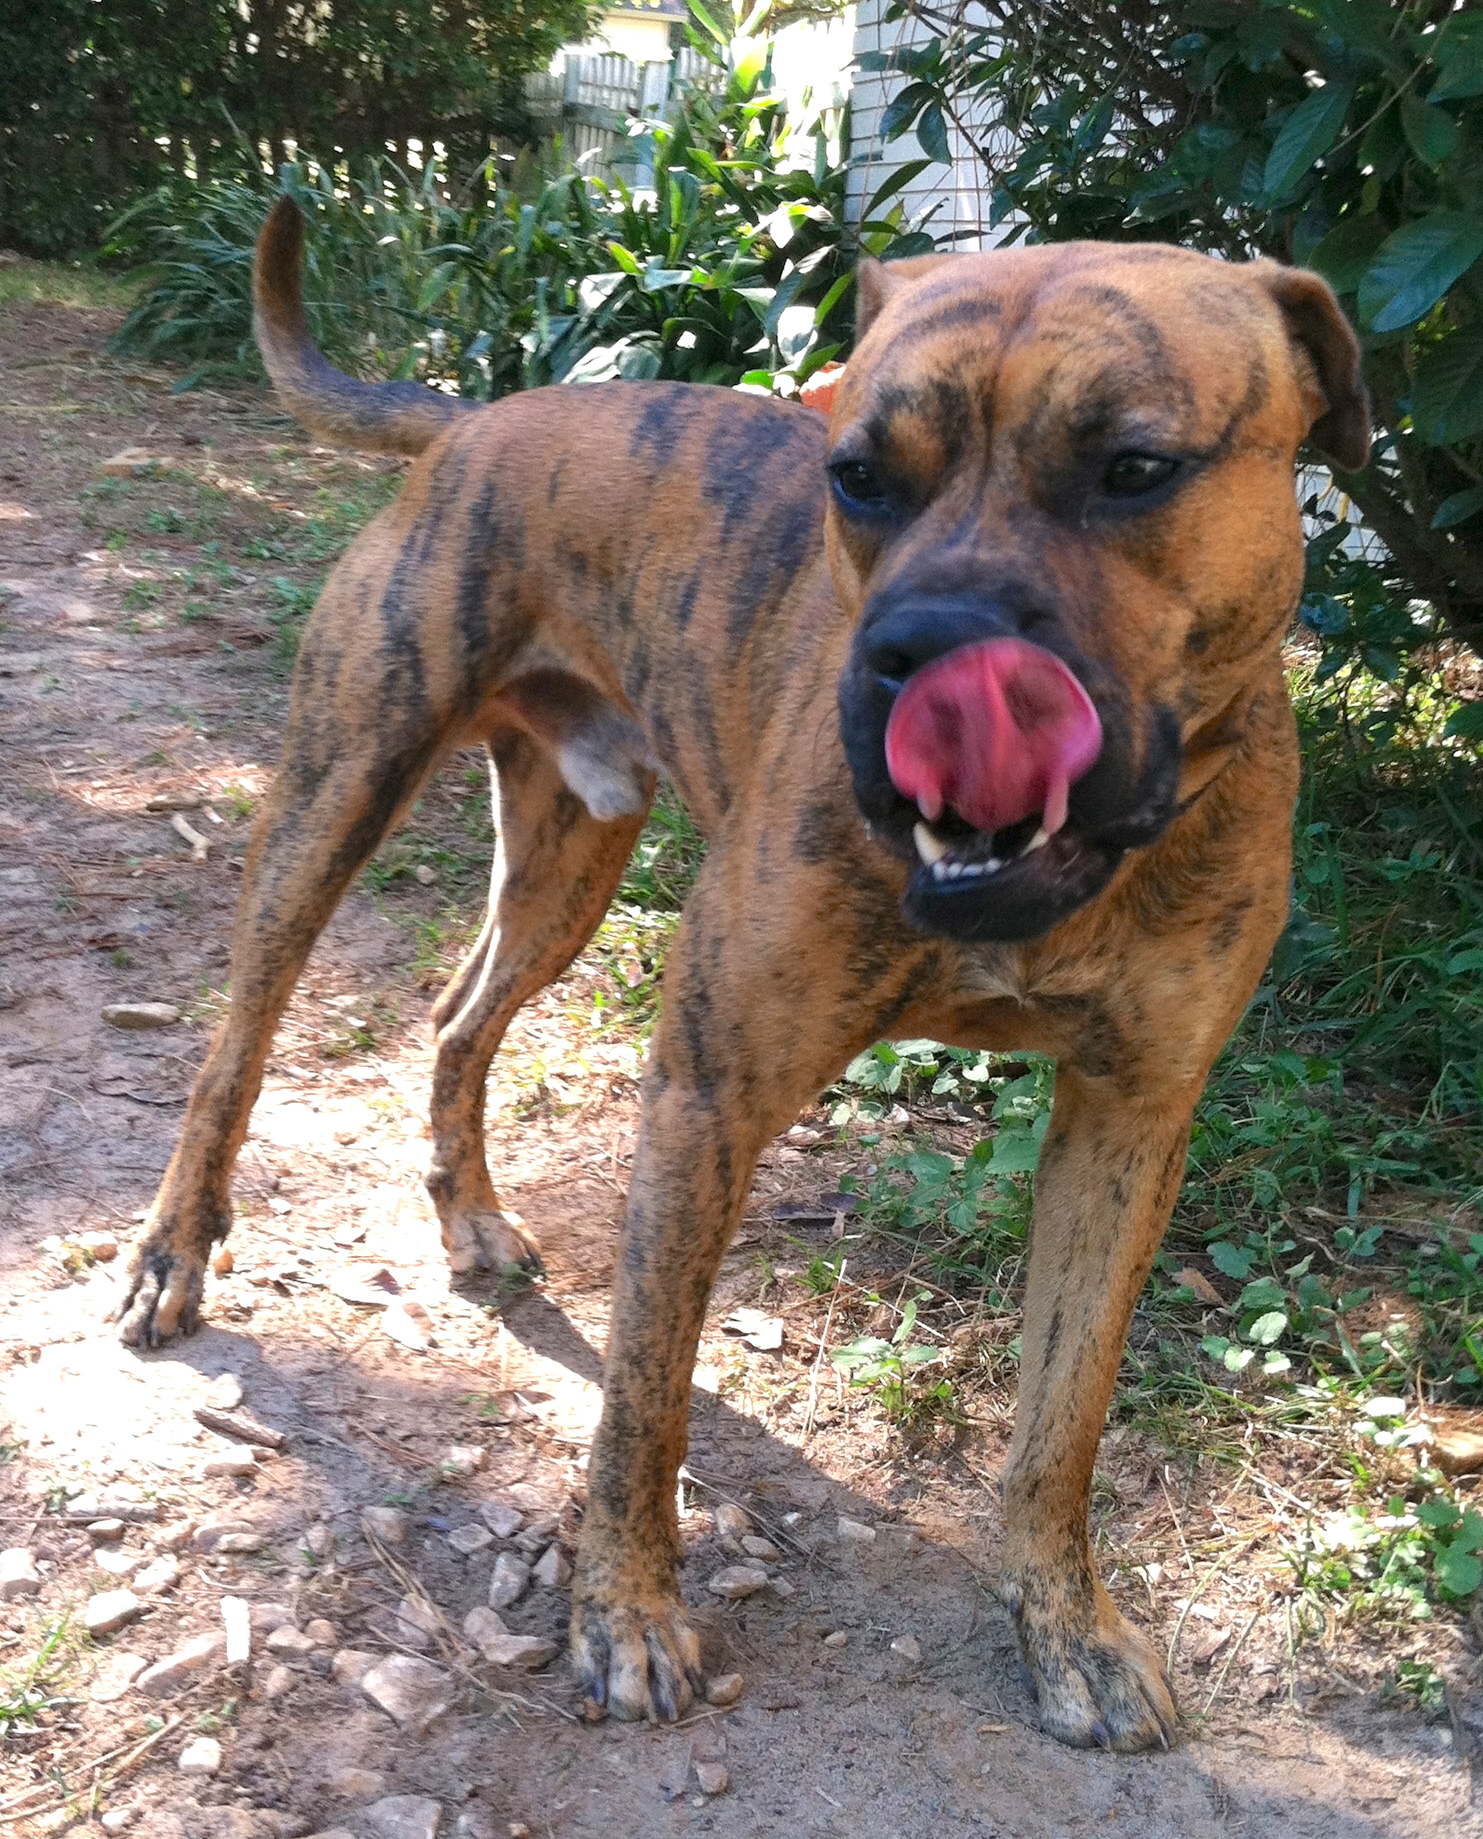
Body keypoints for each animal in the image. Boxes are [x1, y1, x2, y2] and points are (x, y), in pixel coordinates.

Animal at [113, 197, 1368, 1750]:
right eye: (857, 478)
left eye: (1133, 470)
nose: (920, 651)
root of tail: (483, 417)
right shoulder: (706, 1094)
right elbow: (645, 1396)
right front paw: (625, 1612)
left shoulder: (1127, 1125)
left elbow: (1061, 1414)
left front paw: (1064, 1624)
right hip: (337, 790)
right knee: (236, 1039)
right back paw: (172, 1252)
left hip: (566, 867)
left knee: (460, 1015)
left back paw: (469, 1215)